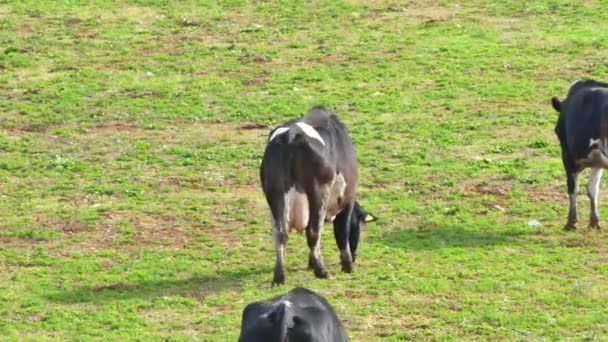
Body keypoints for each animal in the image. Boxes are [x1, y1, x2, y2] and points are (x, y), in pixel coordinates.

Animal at [258, 107, 372, 286]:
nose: (355, 257)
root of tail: (292, 133)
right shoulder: (347, 200)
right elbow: (342, 230)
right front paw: (347, 265)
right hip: (318, 193)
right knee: (313, 231)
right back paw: (322, 271)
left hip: (274, 195)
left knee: (280, 234)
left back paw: (279, 276)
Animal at [552, 79, 608, 231]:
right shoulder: (598, 160)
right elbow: (592, 189)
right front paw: (594, 221)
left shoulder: (567, 154)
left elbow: (573, 188)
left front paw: (571, 221)